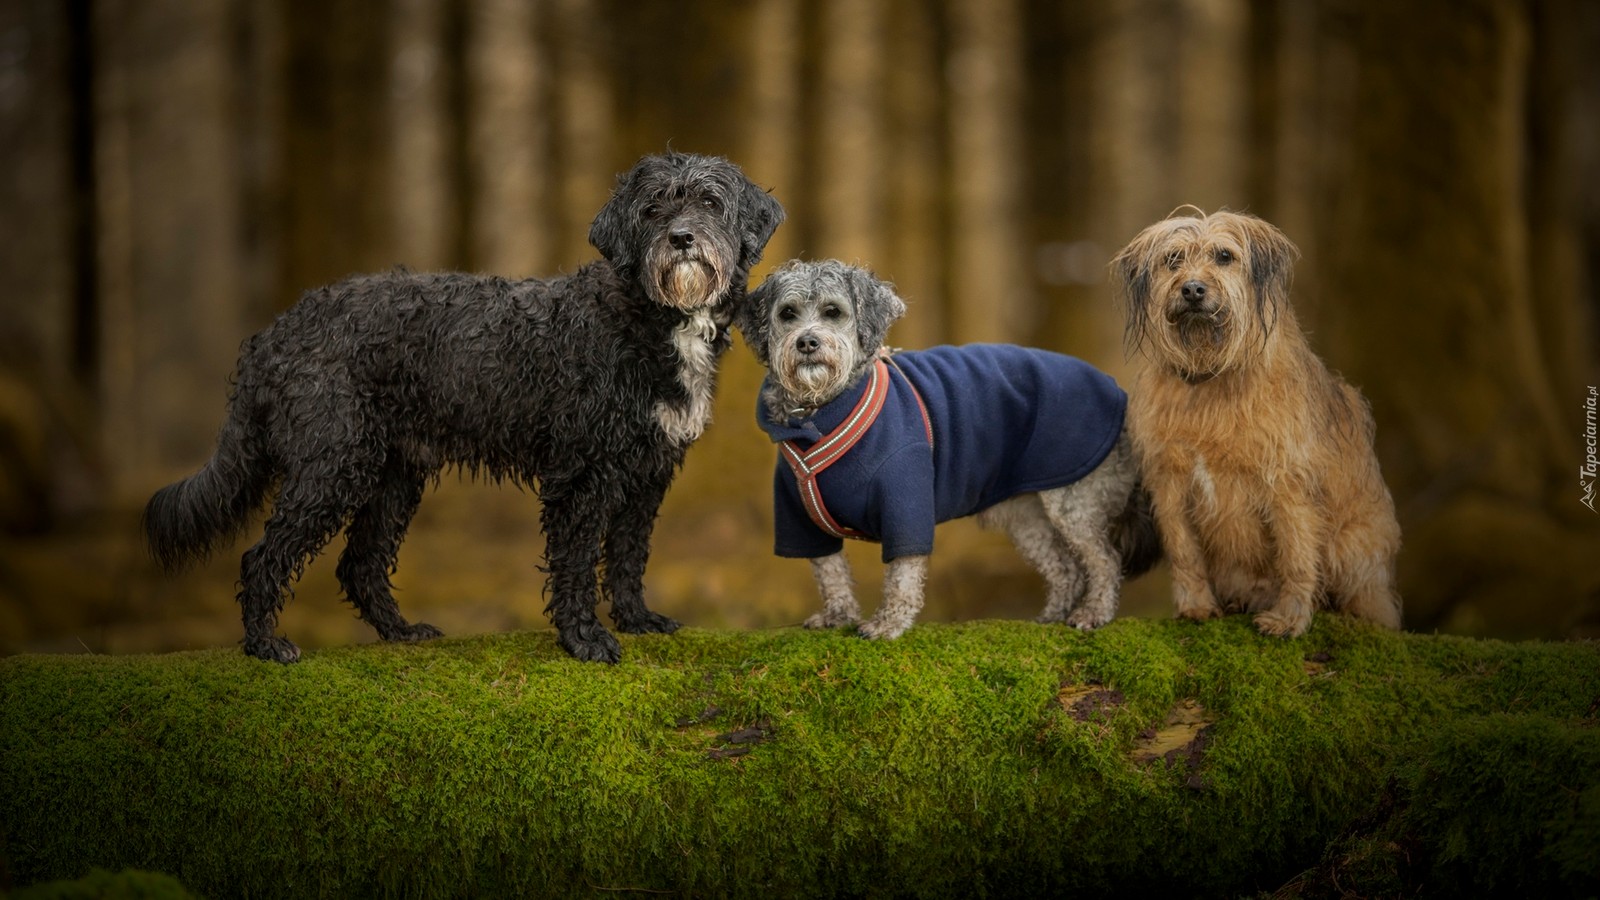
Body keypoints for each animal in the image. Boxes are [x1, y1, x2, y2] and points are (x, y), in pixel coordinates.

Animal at [147, 152, 784, 659]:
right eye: (653, 209)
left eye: (710, 202)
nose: (681, 238)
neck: (647, 320)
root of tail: (273, 334)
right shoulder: (582, 476)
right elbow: (577, 561)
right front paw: (585, 639)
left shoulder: (647, 472)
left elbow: (628, 554)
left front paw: (636, 620)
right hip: (332, 467)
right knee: (263, 557)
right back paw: (264, 644)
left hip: (391, 477)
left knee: (360, 563)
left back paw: (400, 633)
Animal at [732, 259, 1158, 637]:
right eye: (788, 313)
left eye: (832, 312)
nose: (807, 342)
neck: (820, 414)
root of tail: (1118, 395)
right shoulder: (798, 515)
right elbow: (829, 570)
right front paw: (838, 614)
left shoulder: (905, 501)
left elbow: (902, 573)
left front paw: (889, 623)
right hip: (1027, 516)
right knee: (1065, 568)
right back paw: (1052, 616)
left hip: (1074, 503)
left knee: (1105, 561)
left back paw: (1093, 613)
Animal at [1113, 206, 1401, 634]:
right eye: (1173, 259)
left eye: (1224, 256)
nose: (1193, 289)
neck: (1212, 375)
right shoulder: (1170, 485)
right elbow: (1184, 552)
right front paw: (1196, 605)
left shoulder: (1287, 484)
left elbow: (1296, 554)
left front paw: (1289, 618)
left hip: (1353, 544)